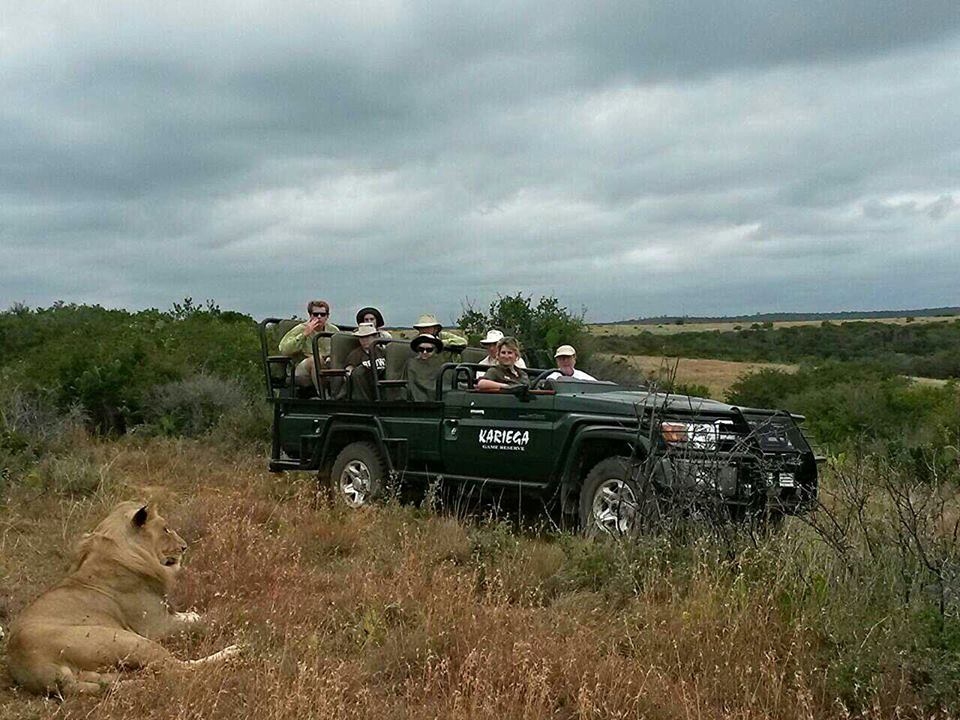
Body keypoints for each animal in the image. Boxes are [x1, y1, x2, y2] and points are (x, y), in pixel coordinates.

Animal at [6, 498, 239, 696]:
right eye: (165, 528)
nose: (184, 546)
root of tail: (32, 665)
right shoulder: (156, 625)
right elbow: (203, 622)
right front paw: (229, 612)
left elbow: (191, 616)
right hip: (129, 640)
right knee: (177, 668)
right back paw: (234, 650)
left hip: (103, 672)